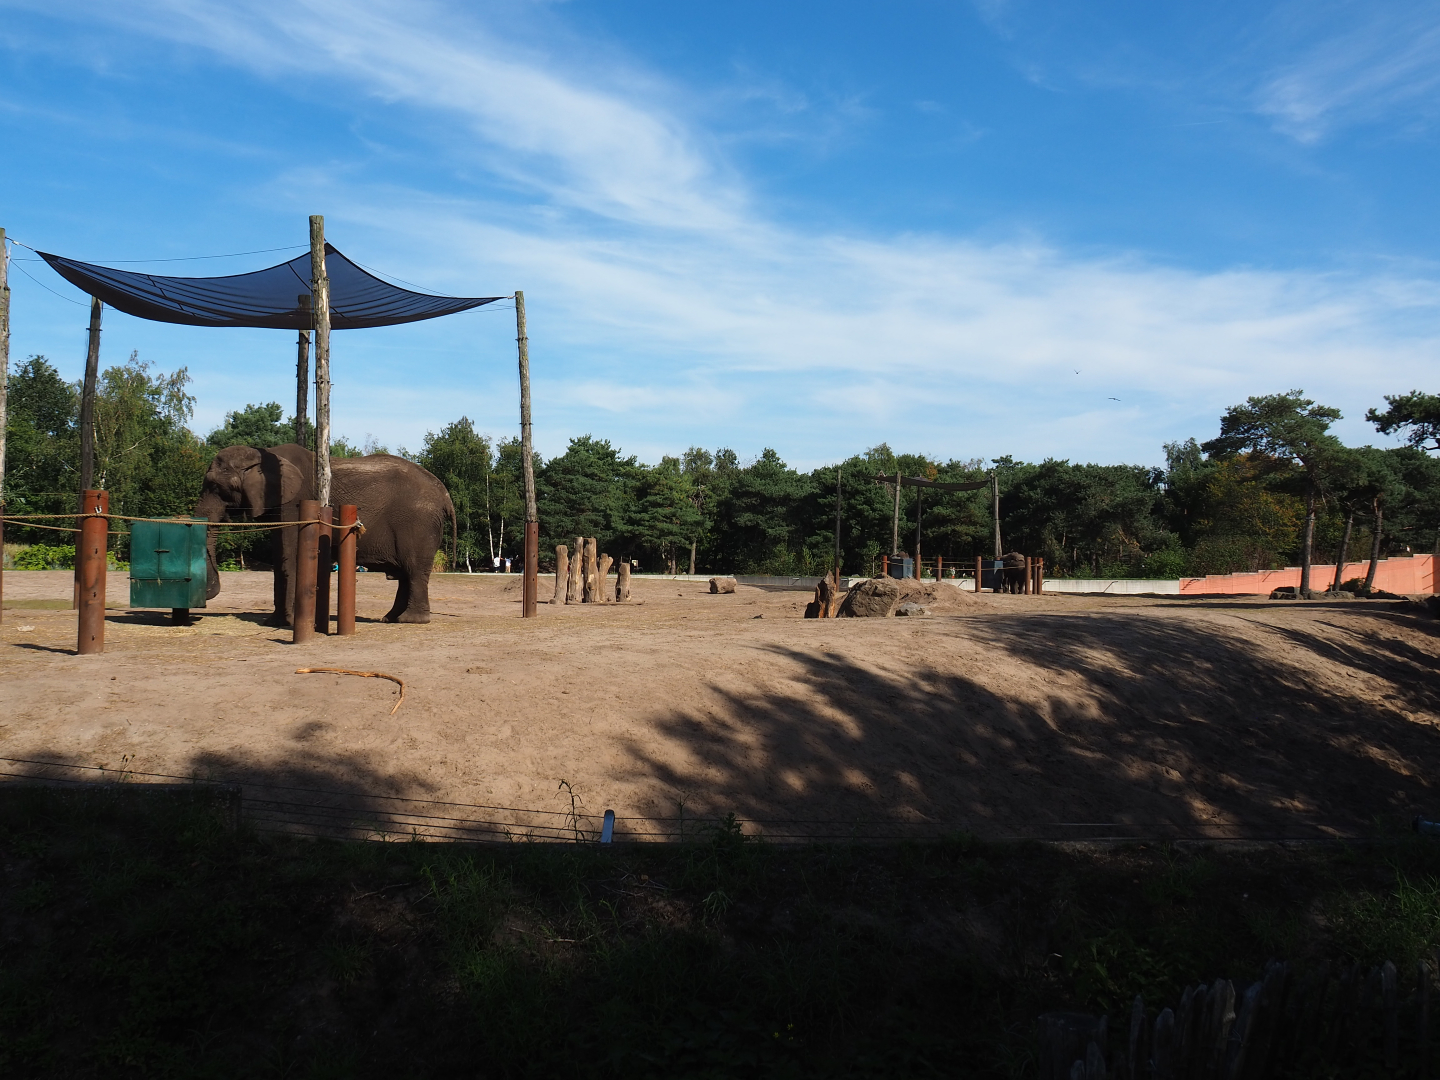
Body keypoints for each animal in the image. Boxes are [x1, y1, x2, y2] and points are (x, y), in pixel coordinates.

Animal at [194, 443, 456, 625]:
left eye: (216, 487)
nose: (208, 594)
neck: (263, 454)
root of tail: (445, 494)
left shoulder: (295, 501)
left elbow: (291, 555)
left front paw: (289, 623)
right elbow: (280, 557)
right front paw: (274, 622)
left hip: (417, 523)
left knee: (413, 570)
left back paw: (410, 620)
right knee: (404, 574)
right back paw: (389, 618)